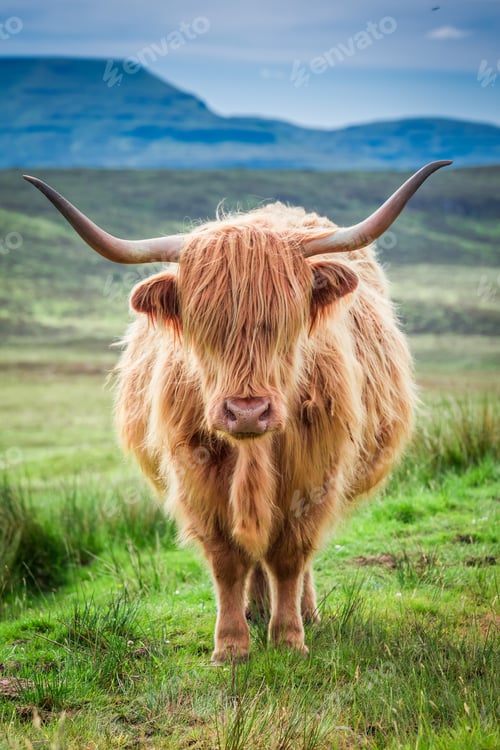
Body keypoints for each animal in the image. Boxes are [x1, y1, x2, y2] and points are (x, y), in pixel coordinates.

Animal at [24, 160, 451, 664]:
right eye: (203, 325)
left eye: (286, 322)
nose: (247, 413)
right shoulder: (196, 475)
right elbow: (228, 560)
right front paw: (230, 645)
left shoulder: (314, 475)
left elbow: (290, 556)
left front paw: (288, 638)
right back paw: (255, 609)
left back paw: (304, 612)